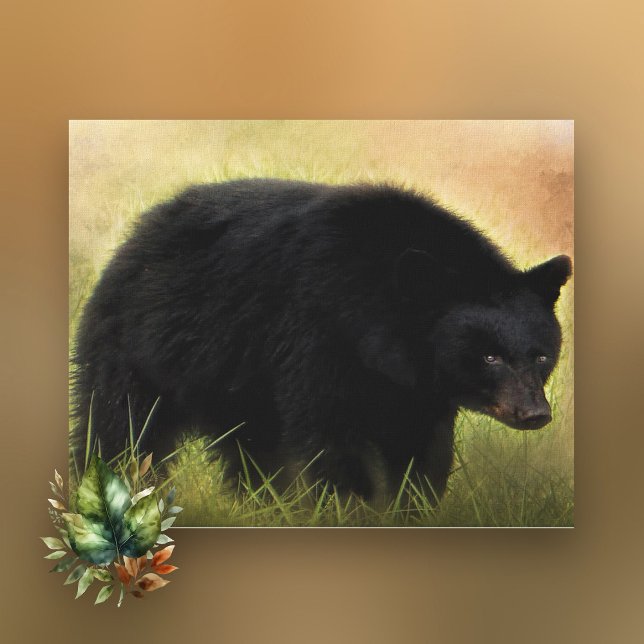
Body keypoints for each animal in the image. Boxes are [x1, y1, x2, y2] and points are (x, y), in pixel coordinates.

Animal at [71, 179, 572, 502]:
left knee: (252, 450)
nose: (534, 414)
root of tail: (139, 233)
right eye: (488, 356)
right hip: (144, 345)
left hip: (239, 382)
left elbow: (419, 449)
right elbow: (333, 437)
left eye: (540, 356)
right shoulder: (316, 336)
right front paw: (349, 507)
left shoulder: (415, 391)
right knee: (122, 426)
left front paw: (411, 506)